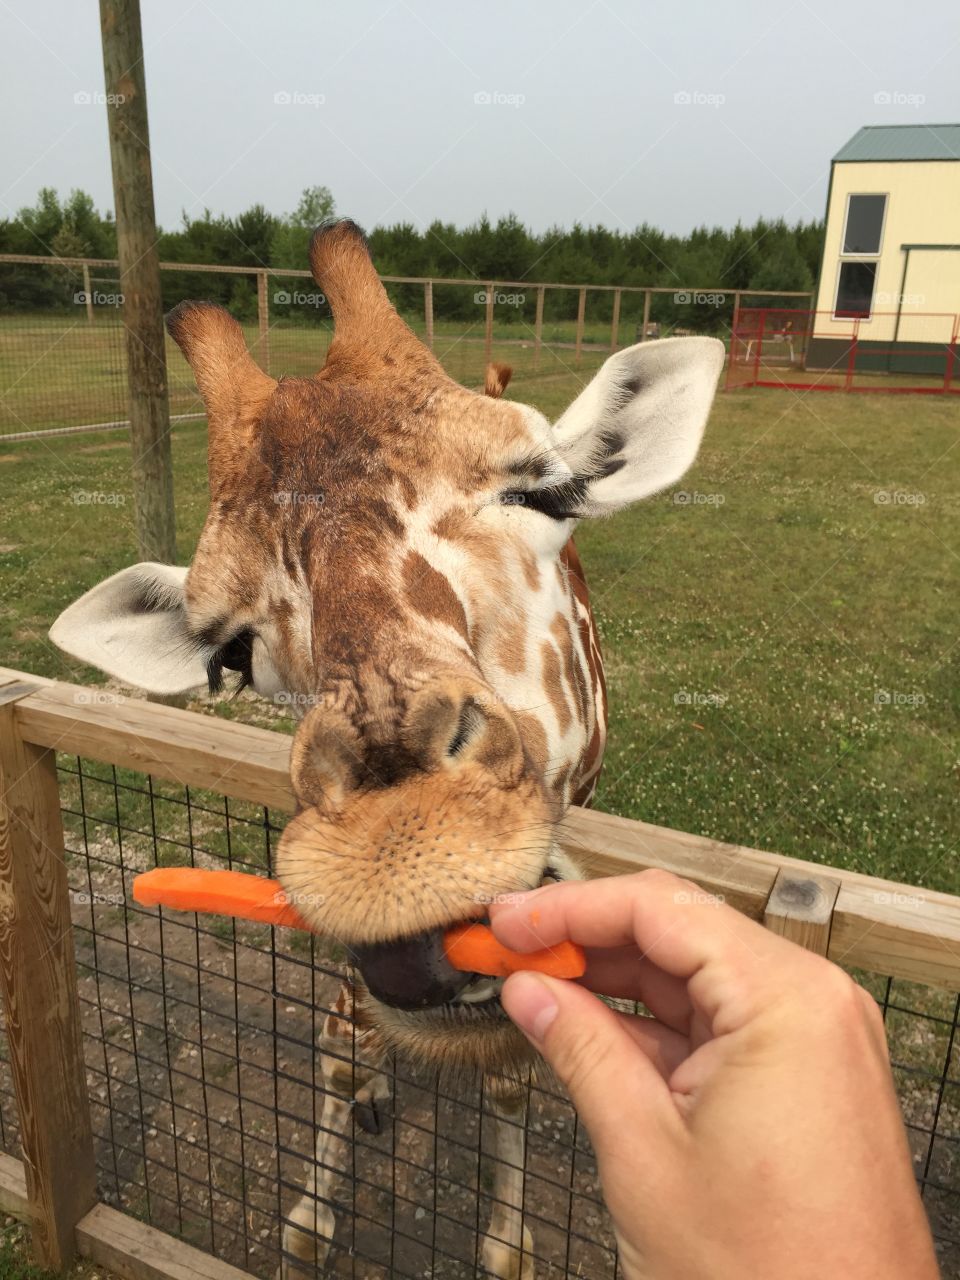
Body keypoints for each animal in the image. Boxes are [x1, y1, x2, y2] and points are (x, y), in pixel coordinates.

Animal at [50, 219, 724, 1278]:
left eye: (546, 493)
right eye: (230, 650)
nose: (400, 860)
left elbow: (510, 1078)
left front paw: (506, 1246)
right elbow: (342, 1039)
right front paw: (310, 1216)